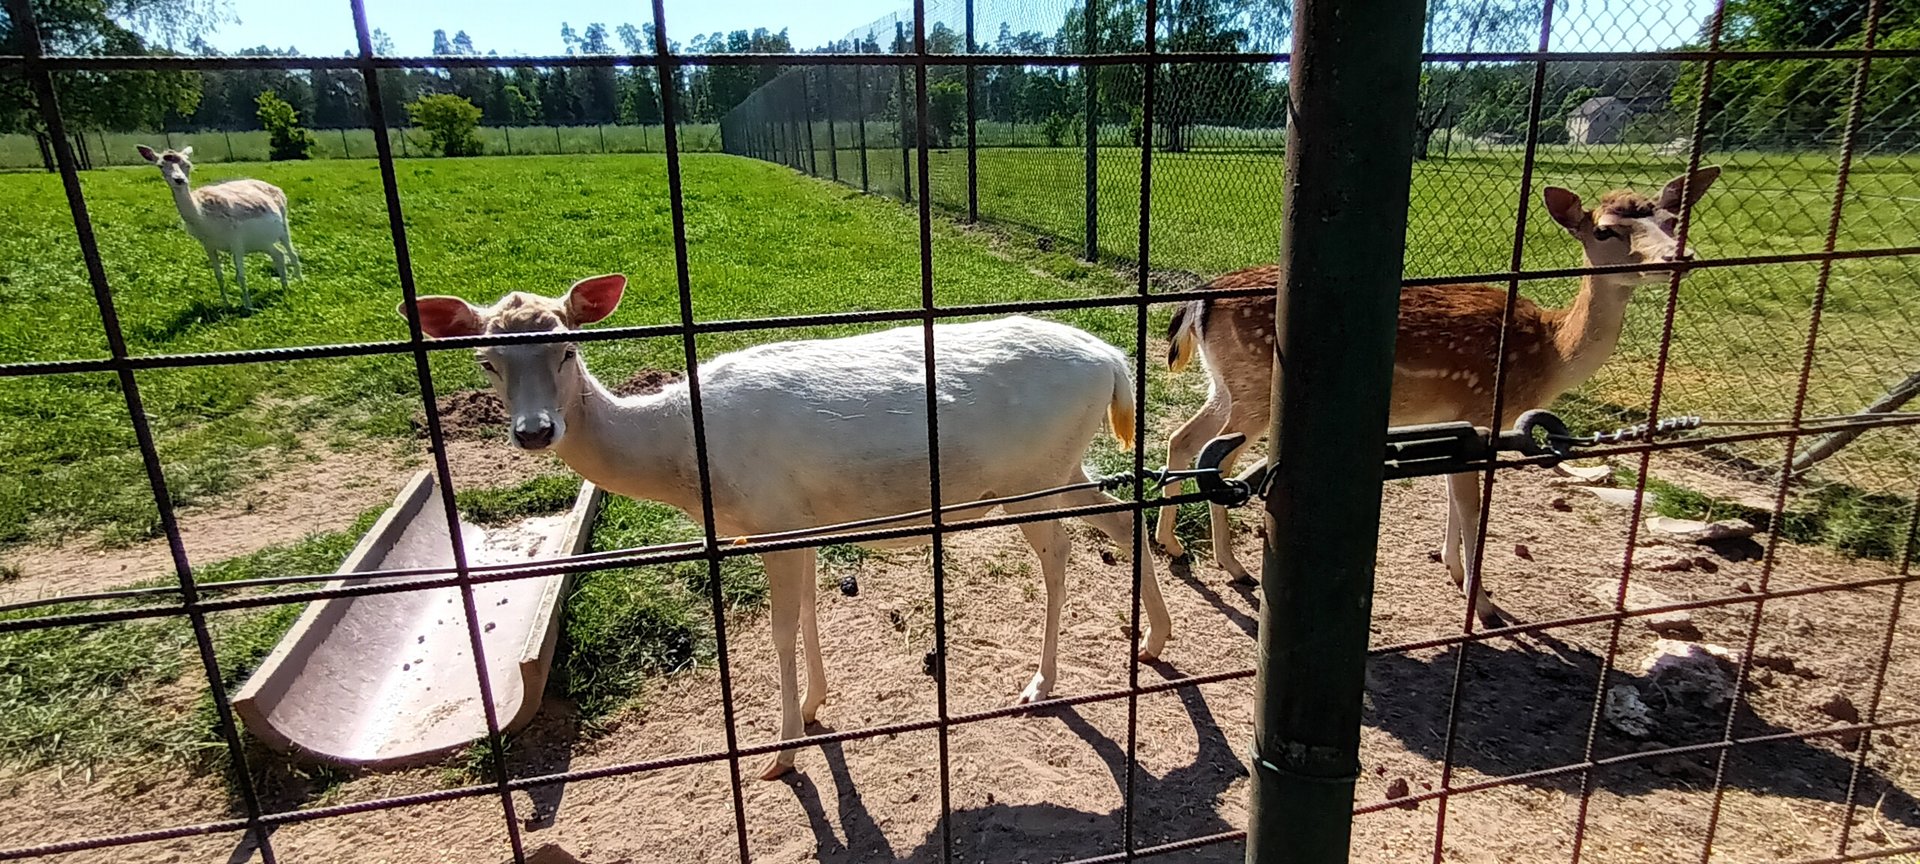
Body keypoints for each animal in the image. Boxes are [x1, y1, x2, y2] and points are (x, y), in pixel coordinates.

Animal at [137, 144, 300, 310]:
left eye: (187, 164)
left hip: (283, 223)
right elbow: (218, 275)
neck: (204, 221)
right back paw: (284, 287)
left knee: (291, 252)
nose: (179, 180)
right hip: (262, 241)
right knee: (279, 254)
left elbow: (240, 275)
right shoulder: (207, 245)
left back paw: (299, 281)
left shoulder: (236, 240)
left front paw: (248, 306)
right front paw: (226, 304)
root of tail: (277, 188)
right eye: (161, 165)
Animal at [405, 276, 1171, 780]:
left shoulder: (772, 516)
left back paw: (1044, 683)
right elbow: (806, 609)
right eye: (486, 361)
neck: (683, 457)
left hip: (1030, 473)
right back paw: (1153, 643)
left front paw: (778, 753)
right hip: (1059, 465)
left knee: (1063, 545)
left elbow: (777, 629)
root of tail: (1113, 363)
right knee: (1116, 518)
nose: (535, 431)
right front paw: (812, 705)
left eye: (565, 348)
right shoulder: (795, 521)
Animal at [1153, 167, 1721, 627]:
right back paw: (1232, 565)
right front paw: (1483, 603)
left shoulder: (1461, 422)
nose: (1682, 257)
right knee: (1215, 458)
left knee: (1185, 438)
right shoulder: (1481, 408)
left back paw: (1178, 547)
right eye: (1604, 229)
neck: (1549, 353)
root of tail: (1198, 301)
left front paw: (1452, 568)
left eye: (1674, 219)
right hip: (1256, 388)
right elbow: (1471, 506)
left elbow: (1452, 493)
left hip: (1228, 383)